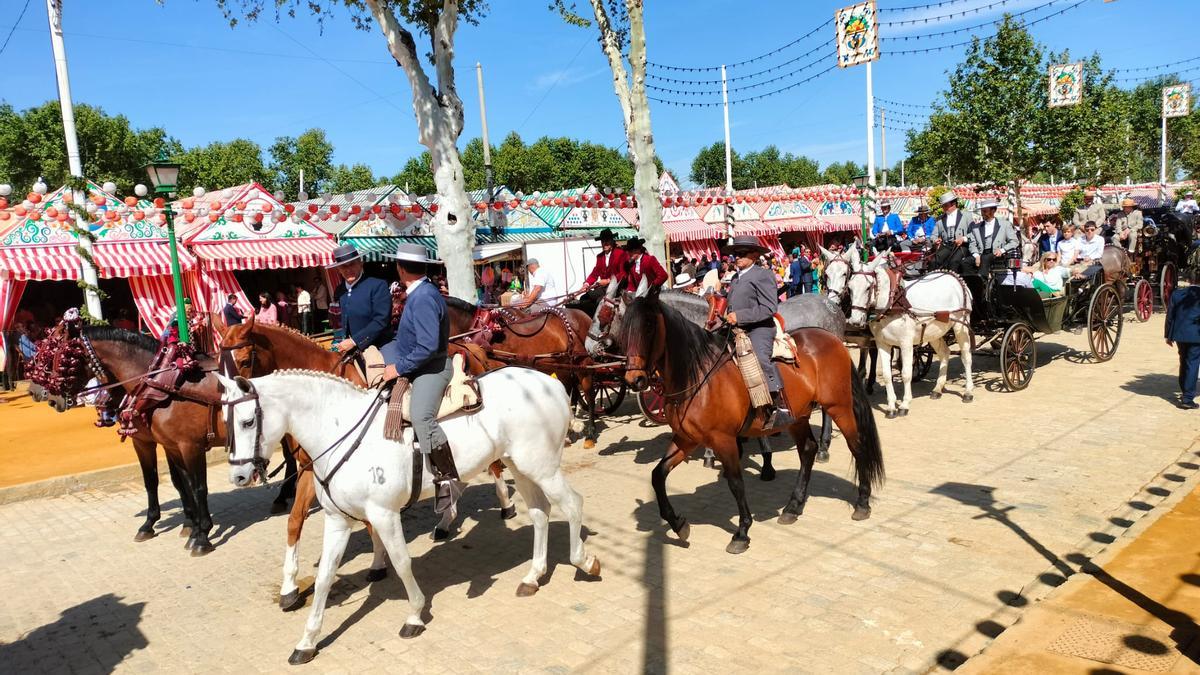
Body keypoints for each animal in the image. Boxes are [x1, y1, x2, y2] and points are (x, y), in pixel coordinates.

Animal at [217, 365, 600, 658]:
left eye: (248, 422)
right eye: (225, 420)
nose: (238, 476)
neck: (341, 432)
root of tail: (549, 382)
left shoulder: (384, 514)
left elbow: (402, 563)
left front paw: (414, 615)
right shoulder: (338, 521)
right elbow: (325, 577)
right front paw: (308, 640)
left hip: (541, 467)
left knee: (572, 504)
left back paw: (585, 562)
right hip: (520, 466)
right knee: (539, 512)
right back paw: (533, 576)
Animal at [619, 294, 883, 552]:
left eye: (649, 326)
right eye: (624, 327)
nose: (634, 379)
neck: (699, 375)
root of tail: (832, 338)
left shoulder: (723, 439)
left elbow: (736, 483)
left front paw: (742, 531)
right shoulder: (687, 438)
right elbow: (658, 474)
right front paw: (678, 524)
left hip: (839, 407)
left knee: (857, 446)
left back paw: (862, 503)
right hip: (798, 417)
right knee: (808, 449)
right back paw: (793, 507)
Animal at [844, 254, 974, 415]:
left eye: (868, 287)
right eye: (850, 287)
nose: (855, 321)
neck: (892, 304)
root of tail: (954, 276)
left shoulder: (905, 343)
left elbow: (906, 374)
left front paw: (904, 404)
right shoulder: (882, 343)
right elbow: (887, 375)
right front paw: (891, 407)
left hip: (960, 326)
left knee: (966, 356)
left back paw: (968, 391)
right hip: (935, 332)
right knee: (945, 353)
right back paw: (938, 388)